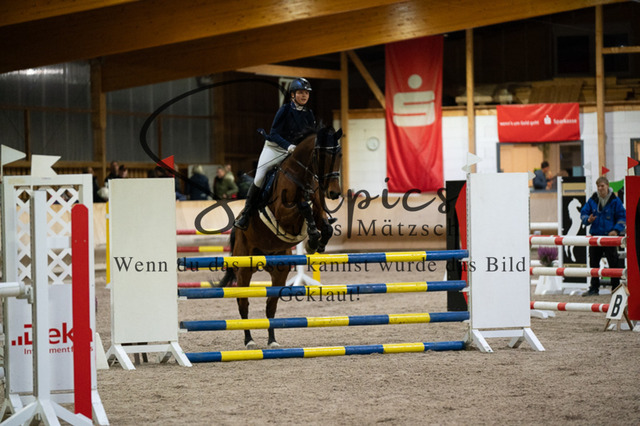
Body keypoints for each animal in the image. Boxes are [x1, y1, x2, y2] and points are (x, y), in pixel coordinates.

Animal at [218, 125, 343, 349]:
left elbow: (325, 226)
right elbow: (303, 207)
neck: (301, 176)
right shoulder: (282, 213)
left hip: (279, 270)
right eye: (321, 155)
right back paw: (249, 340)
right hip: (244, 268)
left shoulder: (318, 210)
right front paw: (312, 236)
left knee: (271, 305)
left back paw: (272, 341)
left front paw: (315, 243)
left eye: (339, 154)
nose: (334, 193)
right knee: (243, 303)